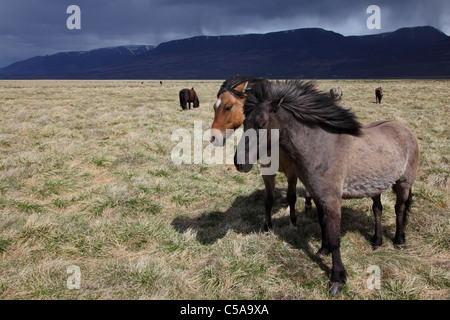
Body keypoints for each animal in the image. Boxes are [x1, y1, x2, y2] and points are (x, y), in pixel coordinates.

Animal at [209, 77, 312, 232]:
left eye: (228, 107)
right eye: (215, 107)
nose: (213, 138)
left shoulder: (292, 172)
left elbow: (292, 196)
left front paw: (293, 222)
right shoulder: (267, 171)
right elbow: (269, 198)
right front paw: (267, 226)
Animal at [236, 80, 418, 296]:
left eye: (261, 124)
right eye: (244, 123)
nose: (239, 163)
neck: (320, 147)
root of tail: (405, 129)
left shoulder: (332, 200)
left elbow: (334, 237)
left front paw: (337, 277)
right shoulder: (317, 196)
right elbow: (322, 223)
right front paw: (322, 250)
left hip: (404, 183)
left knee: (399, 209)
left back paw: (399, 240)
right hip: (376, 186)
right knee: (378, 210)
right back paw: (377, 241)